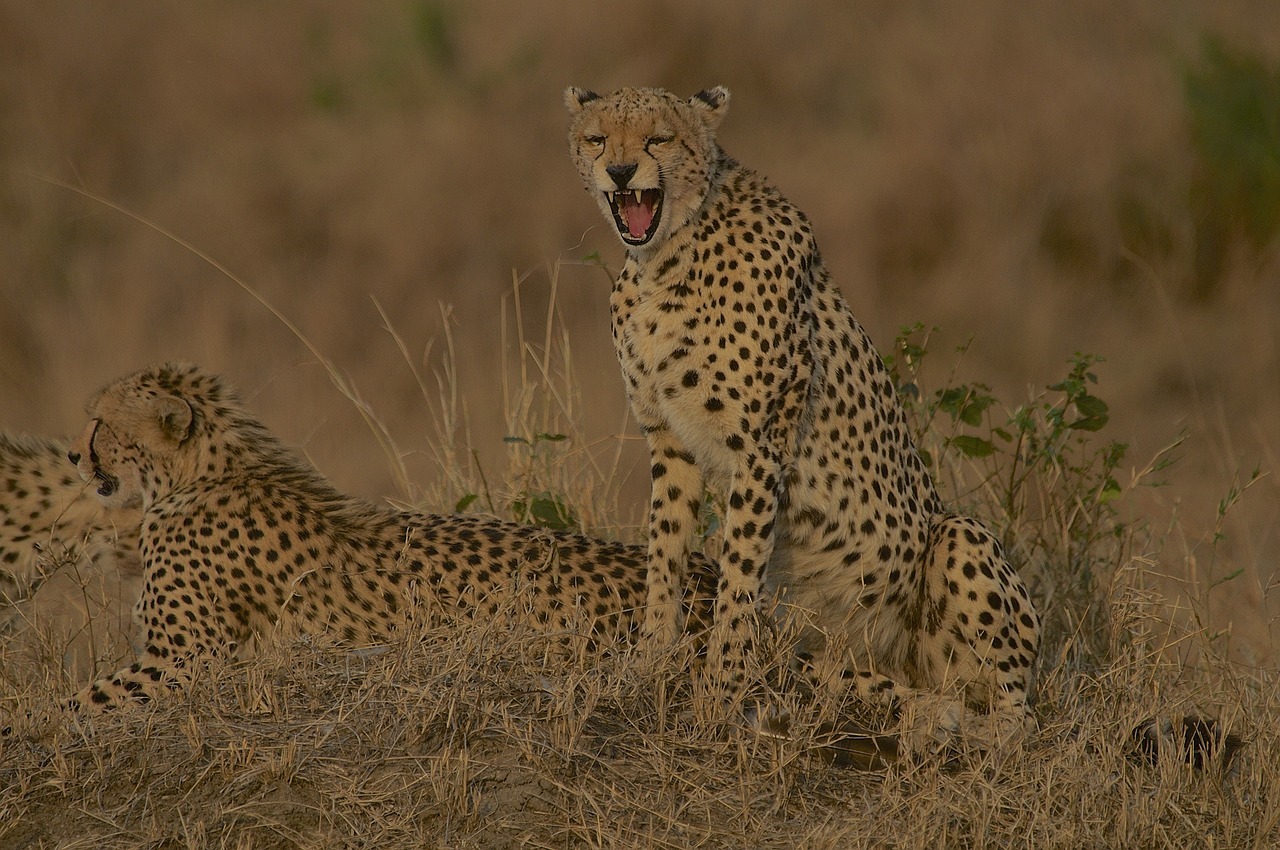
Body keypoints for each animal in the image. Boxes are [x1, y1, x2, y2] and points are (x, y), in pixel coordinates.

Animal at [64, 360, 721, 711]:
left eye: (99, 422)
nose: (73, 455)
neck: (201, 470)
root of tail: (710, 576)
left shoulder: (183, 657)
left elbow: (76, 702)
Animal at [568, 83, 1039, 742]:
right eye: (597, 138)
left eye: (658, 138)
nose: (619, 171)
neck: (668, 257)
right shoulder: (669, 440)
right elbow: (665, 556)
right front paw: (647, 664)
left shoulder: (759, 448)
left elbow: (738, 579)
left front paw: (718, 698)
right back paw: (915, 711)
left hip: (958, 538)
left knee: (1017, 716)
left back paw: (959, 728)